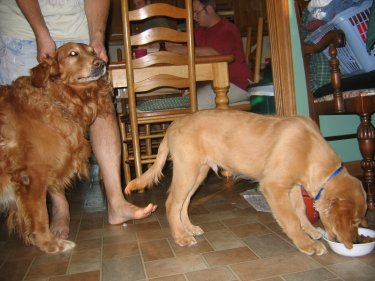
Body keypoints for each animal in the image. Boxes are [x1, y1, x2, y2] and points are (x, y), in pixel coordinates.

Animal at [128, 109, 368, 254]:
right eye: (355, 221)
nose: (356, 242)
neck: (310, 148)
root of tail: (173, 123)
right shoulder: (273, 185)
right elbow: (290, 218)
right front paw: (307, 244)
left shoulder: (292, 186)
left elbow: (300, 210)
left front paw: (311, 230)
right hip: (187, 170)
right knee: (171, 204)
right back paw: (180, 237)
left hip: (198, 172)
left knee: (183, 203)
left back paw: (189, 229)